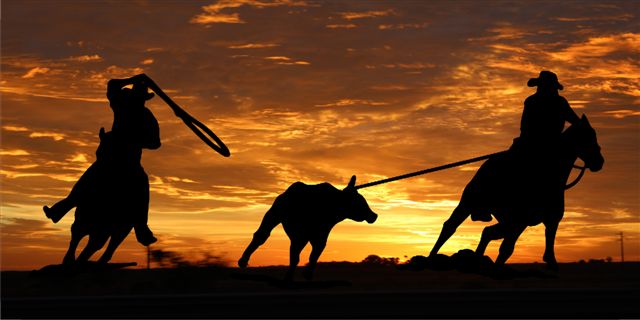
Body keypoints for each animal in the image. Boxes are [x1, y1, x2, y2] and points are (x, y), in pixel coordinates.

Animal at [240, 175, 380, 280]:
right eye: (360, 201)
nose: (374, 215)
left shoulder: (319, 235)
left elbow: (312, 254)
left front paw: (306, 274)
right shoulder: (302, 234)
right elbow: (299, 254)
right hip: (274, 215)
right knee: (261, 235)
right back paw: (243, 261)